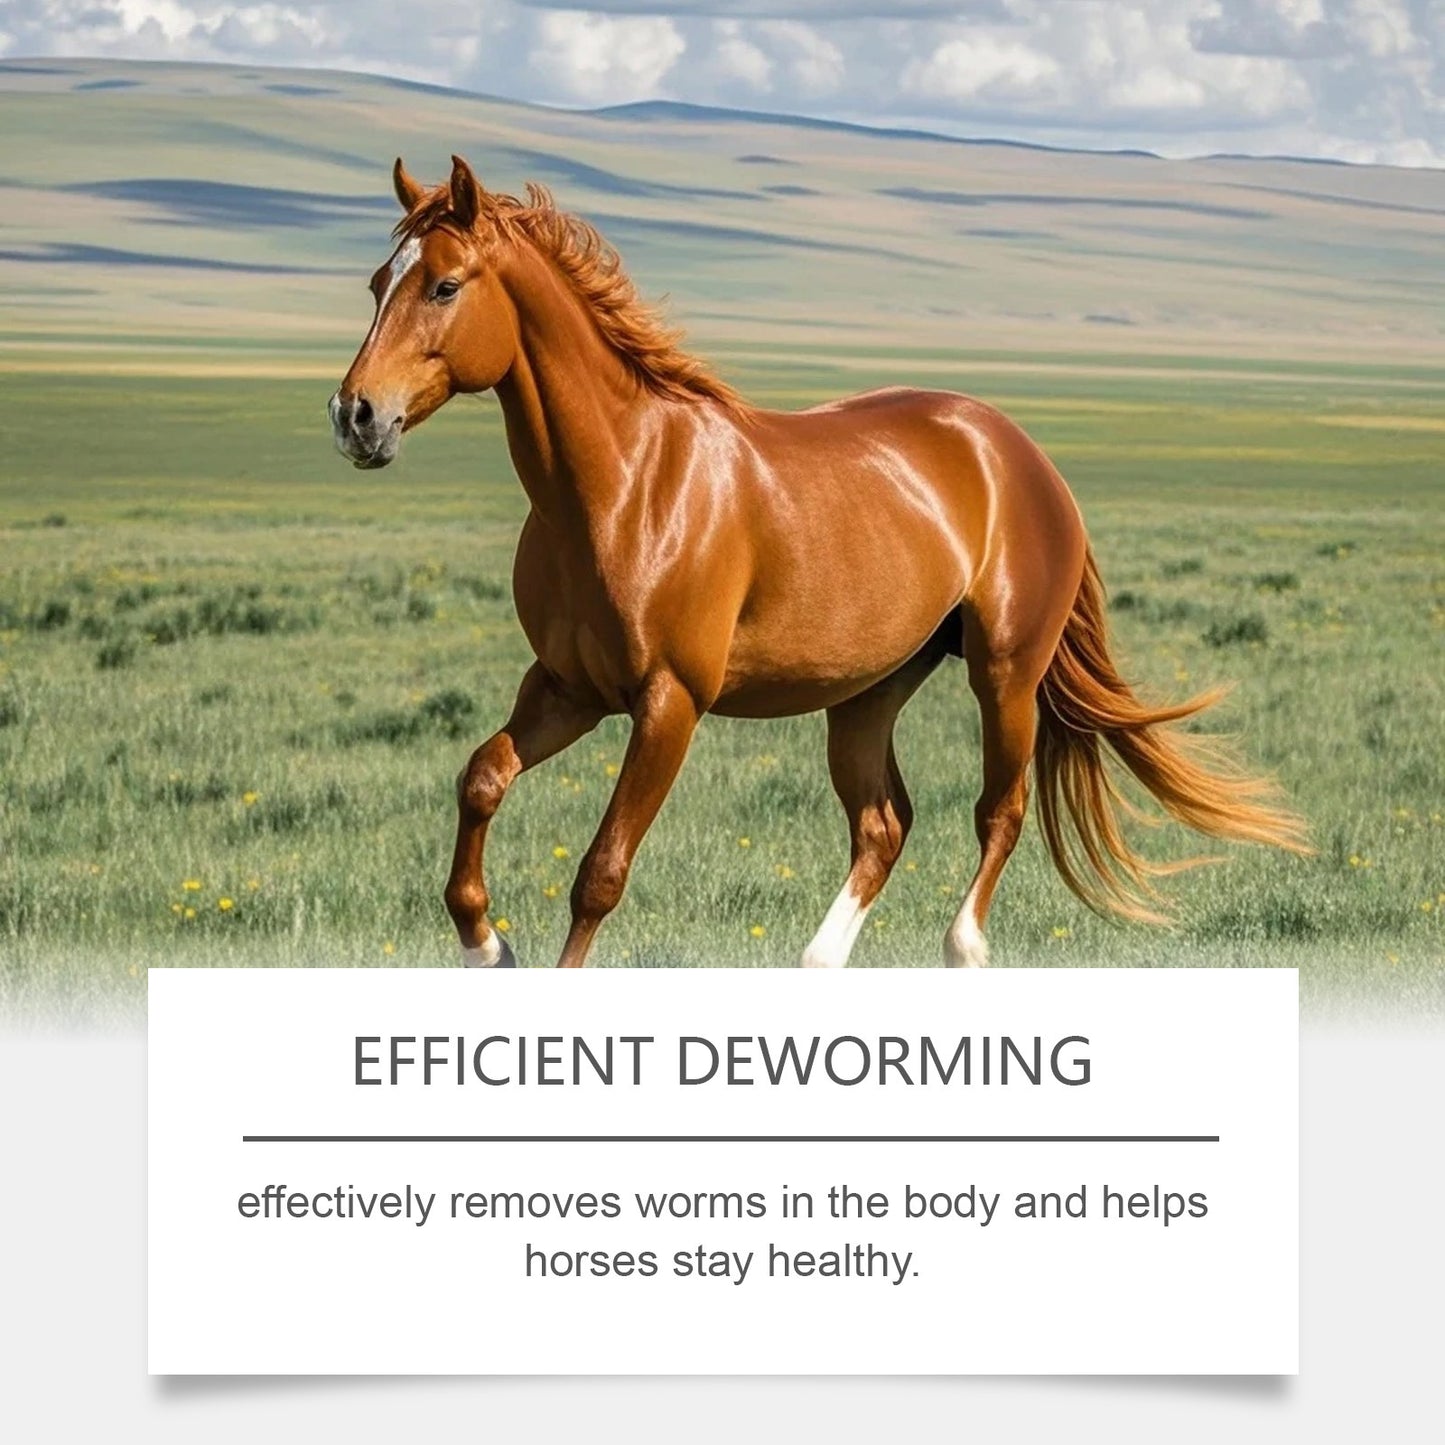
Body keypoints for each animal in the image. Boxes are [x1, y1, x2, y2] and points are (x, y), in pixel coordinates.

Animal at [329, 155, 1308, 970]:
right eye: (378, 281)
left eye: (444, 284)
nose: (355, 416)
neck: (623, 483)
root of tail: (1016, 449)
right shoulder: (567, 687)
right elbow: (481, 778)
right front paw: (485, 942)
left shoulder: (667, 703)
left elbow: (600, 872)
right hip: (867, 690)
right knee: (882, 826)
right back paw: (817, 962)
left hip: (1005, 674)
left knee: (997, 811)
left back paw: (963, 949)